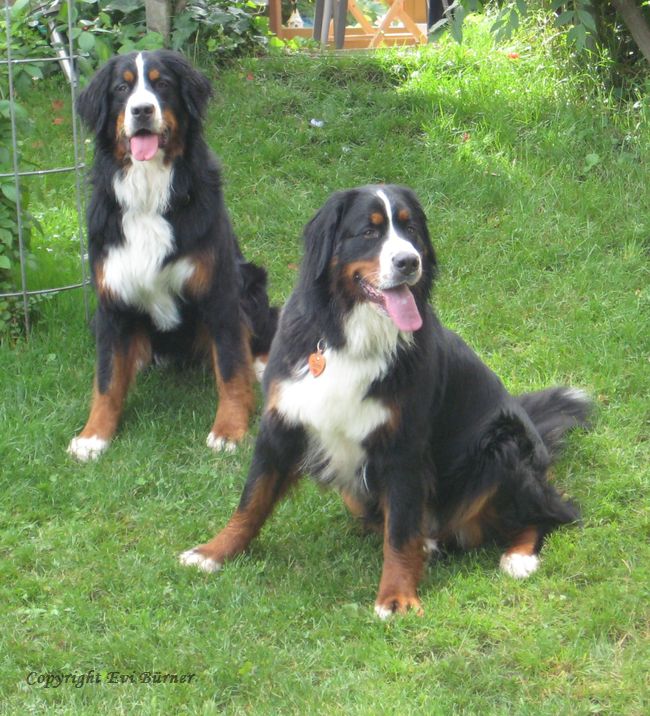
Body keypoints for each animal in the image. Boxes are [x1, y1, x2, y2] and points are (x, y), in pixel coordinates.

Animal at [68, 50, 276, 461]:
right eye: (121, 88)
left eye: (162, 84)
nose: (142, 110)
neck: (150, 194)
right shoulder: (110, 302)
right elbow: (107, 378)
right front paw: (94, 435)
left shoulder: (220, 293)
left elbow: (231, 366)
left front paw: (229, 429)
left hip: (250, 279)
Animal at [180, 185, 592, 617]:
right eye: (369, 231)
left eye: (410, 230)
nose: (409, 262)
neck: (349, 337)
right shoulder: (283, 423)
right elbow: (251, 500)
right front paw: (213, 552)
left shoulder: (402, 448)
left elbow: (401, 529)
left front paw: (396, 598)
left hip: (502, 444)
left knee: (556, 510)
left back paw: (519, 557)